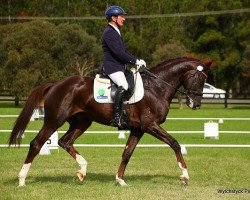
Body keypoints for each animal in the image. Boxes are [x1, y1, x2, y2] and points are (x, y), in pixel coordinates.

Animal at [9, 57, 213, 187]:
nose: (196, 104)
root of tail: (55, 84)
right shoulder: (150, 125)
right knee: (37, 144)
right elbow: (175, 144)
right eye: (199, 78)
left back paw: (82, 171)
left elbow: (127, 154)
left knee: (65, 141)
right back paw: (22, 180)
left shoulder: (138, 129)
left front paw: (120, 180)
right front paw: (184, 176)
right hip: (54, 121)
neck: (156, 87)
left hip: (82, 122)